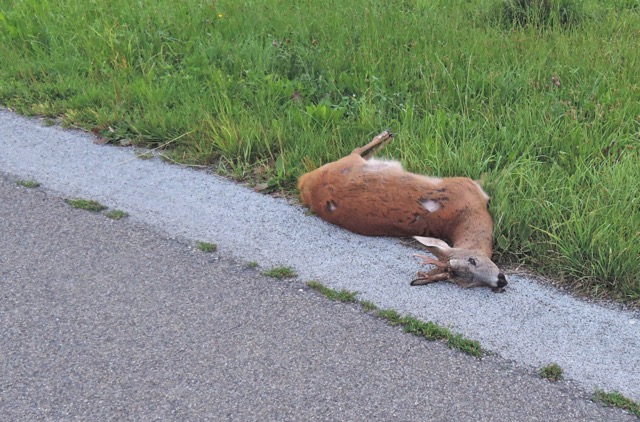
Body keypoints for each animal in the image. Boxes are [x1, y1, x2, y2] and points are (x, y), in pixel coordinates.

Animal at [298, 130, 510, 292]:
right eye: (469, 281)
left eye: (472, 262)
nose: (501, 280)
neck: (466, 213)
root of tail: (304, 183)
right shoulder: (465, 184)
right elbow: (489, 178)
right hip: (347, 162)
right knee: (355, 150)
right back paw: (386, 135)